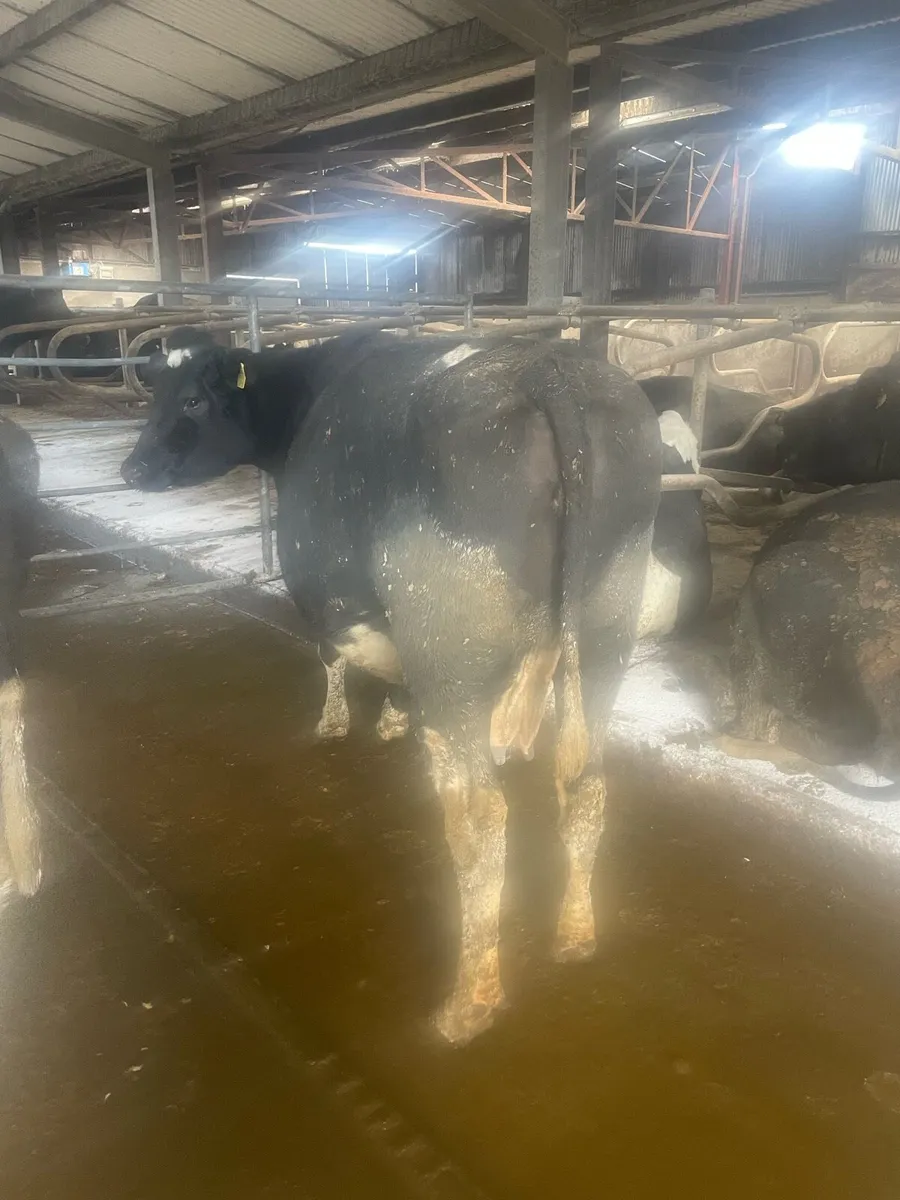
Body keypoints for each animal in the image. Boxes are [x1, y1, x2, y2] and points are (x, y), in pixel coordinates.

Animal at [121, 330, 662, 1043]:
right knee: (587, 785)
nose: (131, 469)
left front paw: (335, 724)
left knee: (481, 818)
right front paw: (395, 720)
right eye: (153, 390)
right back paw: (575, 936)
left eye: (190, 399)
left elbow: (328, 653)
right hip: (605, 638)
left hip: (451, 656)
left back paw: (468, 1006)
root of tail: (545, 366)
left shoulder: (330, 594)